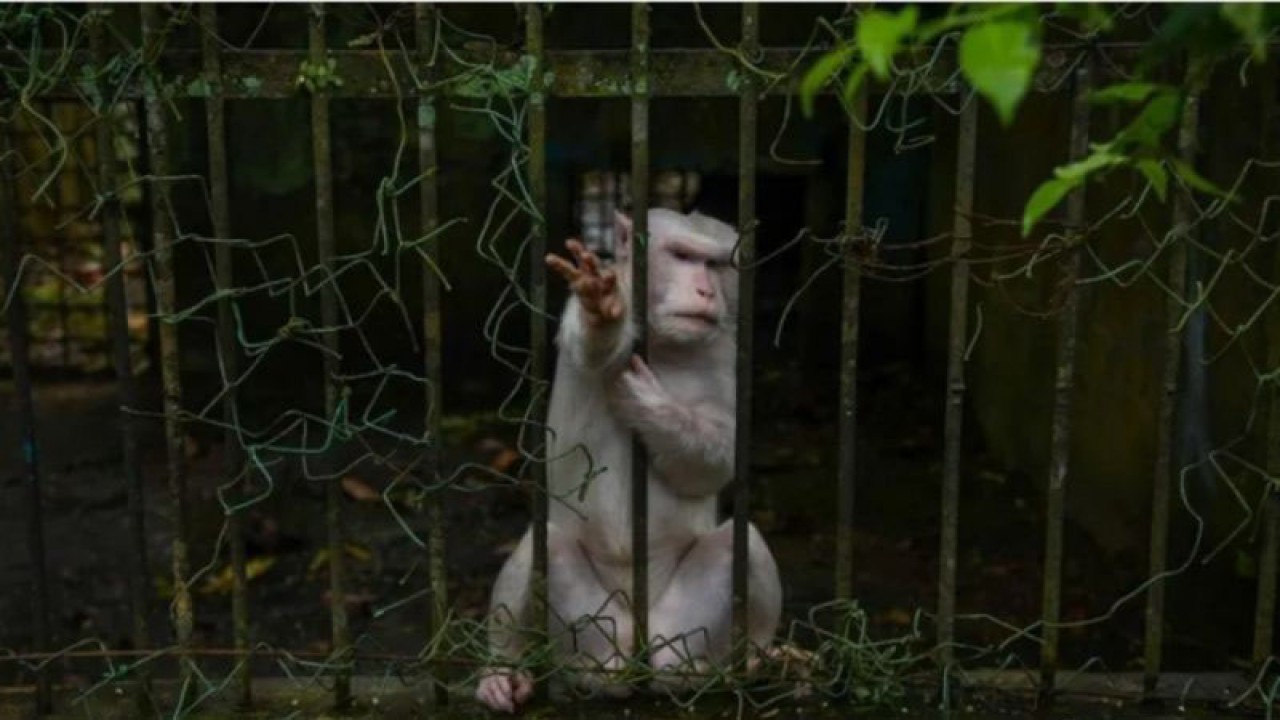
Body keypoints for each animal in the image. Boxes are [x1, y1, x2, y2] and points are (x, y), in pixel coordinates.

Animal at [476, 208, 783, 712]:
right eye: (682, 256)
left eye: (717, 264)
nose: (707, 291)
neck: (665, 343)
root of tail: (633, 652)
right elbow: (593, 343)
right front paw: (601, 306)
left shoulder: (723, 353)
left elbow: (715, 461)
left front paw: (650, 406)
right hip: (584, 629)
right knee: (542, 544)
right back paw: (504, 671)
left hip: (686, 630)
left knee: (745, 542)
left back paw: (752, 661)